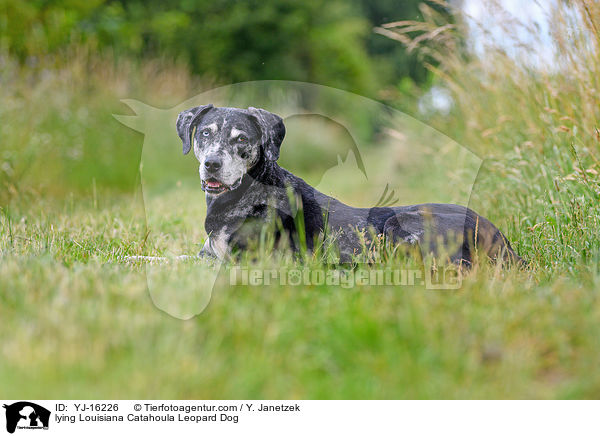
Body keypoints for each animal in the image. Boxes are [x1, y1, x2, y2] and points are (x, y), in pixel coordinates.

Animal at [176, 104, 524, 266]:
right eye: (205, 133)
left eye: (241, 139)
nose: (212, 165)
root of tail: (502, 239)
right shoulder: (205, 255)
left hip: (401, 224)